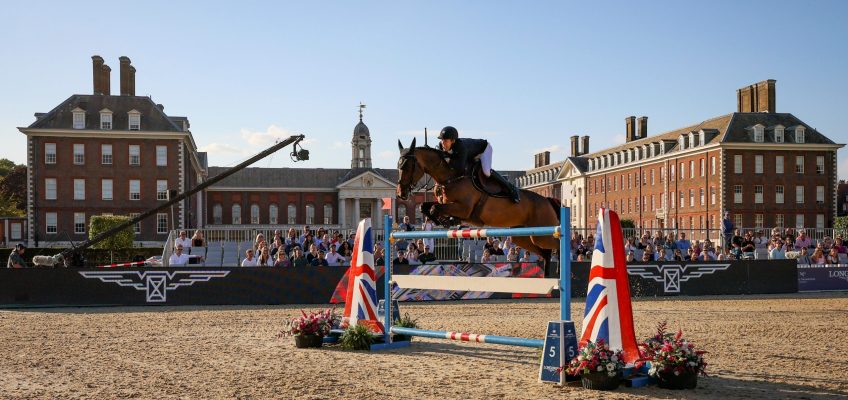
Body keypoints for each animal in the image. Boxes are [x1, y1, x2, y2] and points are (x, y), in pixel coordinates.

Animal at [398, 139, 564, 270]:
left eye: (407, 166)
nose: (401, 193)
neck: (450, 177)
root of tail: (547, 200)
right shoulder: (448, 204)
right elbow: (425, 206)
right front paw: (444, 221)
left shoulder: (464, 209)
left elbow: (434, 208)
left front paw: (446, 220)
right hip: (523, 237)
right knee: (546, 253)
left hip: (542, 234)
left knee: (557, 245)